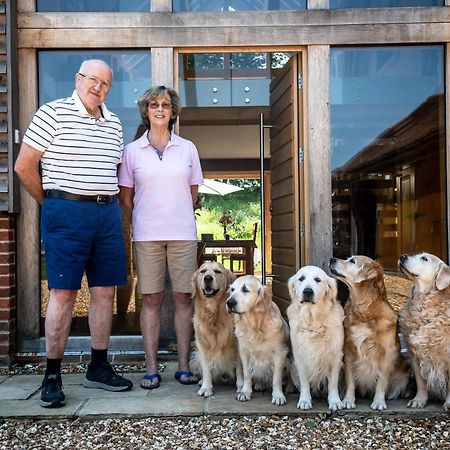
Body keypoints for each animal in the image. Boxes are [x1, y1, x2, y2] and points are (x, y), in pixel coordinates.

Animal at [190, 260, 243, 398]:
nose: (208, 278)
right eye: (202, 271)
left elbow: (240, 367)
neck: (213, 313)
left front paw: (241, 386)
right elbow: (206, 368)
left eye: (218, 272)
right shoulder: (202, 344)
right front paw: (206, 387)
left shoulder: (238, 343)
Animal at [225, 276, 292, 406]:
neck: (255, 325)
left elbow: (277, 378)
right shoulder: (244, 352)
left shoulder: (280, 353)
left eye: (245, 289)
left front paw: (278, 396)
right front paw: (245, 392)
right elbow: (246, 375)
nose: (229, 303)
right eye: (232, 289)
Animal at [288, 268, 344, 412]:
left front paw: (335, 401)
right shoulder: (300, 356)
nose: (308, 291)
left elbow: (333, 383)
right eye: (301, 278)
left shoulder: (336, 355)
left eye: (318, 279)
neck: (312, 319)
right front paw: (304, 400)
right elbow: (304, 382)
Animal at [400, 251, 450, 410]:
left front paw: (449, 403)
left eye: (424, 258)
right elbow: (421, 382)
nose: (402, 256)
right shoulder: (415, 355)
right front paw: (419, 400)